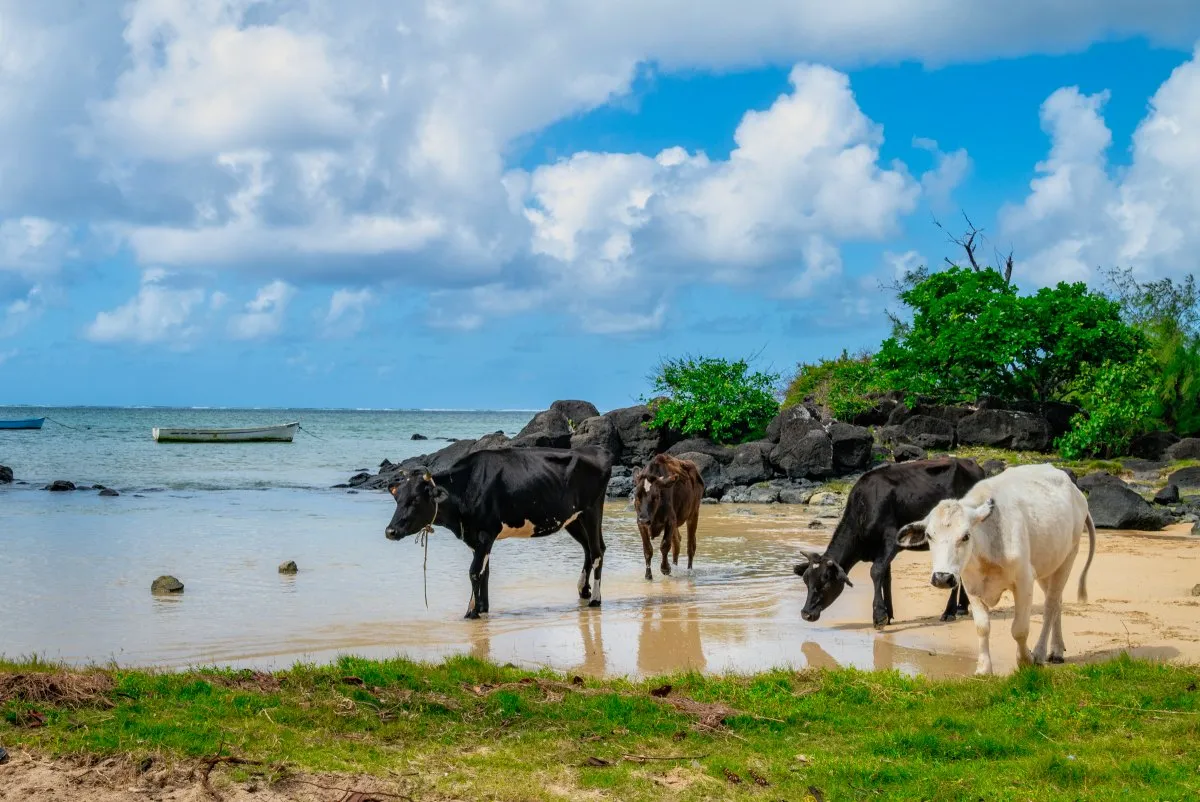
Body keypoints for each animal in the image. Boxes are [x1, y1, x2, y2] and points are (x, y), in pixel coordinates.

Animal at [384, 445, 612, 619]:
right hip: (572, 518)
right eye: (397, 498)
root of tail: (596, 450)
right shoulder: (475, 537)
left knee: (597, 550)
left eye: (415, 499)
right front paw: (482, 608)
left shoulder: (486, 533)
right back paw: (583, 590)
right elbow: (484, 572)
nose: (390, 531)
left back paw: (595, 599)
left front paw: (471, 612)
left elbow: (474, 571)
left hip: (592, 510)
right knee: (588, 549)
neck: (466, 487)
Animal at [793, 457, 985, 629]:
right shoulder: (880, 550)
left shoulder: (891, 541)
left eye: (825, 581)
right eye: (806, 580)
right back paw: (962, 607)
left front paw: (879, 616)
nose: (805, 613)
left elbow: (876, 571)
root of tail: (974, 465)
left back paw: (950, 611)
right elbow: (886, 576)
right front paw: (889, 613)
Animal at [896, 463, 1097, 675]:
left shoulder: (1025, 580)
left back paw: (1041, 653)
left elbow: (1019, 629)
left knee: (1050, 606)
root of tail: (1076, 492)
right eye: (929, 535)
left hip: (1067, 558)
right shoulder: (971, 585)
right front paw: (984, 669)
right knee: (1057, 602)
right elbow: (982, 627)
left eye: (966, 536)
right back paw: (1057, 649)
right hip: (1049, 565)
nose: (942, 578)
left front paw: (1025, 660)